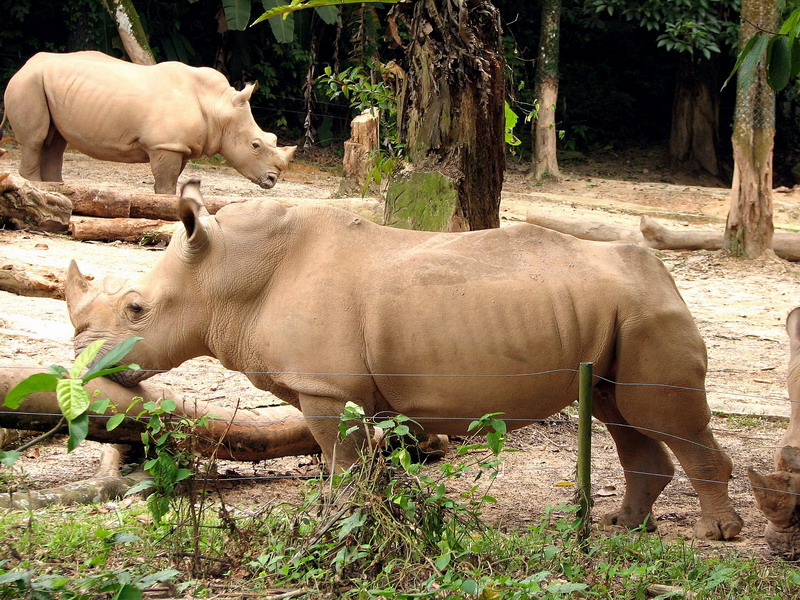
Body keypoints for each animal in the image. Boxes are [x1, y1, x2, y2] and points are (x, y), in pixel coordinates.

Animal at [2, 51, 296, 194]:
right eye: (255, 145)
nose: (273, 179)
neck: (219, 108)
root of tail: (24, 65)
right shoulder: (165, 144)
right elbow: (166, 184)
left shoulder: (179, 146)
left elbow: (170, 180)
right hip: (28, 83)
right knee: (36, 139)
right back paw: (37, 187)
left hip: (46, 84)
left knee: (55, 141)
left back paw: (56, 188)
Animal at [65, 181, 743, 540]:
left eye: (136, 309)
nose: (79, 361)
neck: (225, 274)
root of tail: (668, 278)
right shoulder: (346, 389)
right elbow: (363, 464)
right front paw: (366, 517)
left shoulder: (326, 388)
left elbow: (340, 461)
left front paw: (338, 521)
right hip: (624, 312)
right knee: (618, 410)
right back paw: (619, 525)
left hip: (647, 312)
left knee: (661, 414)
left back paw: (717, 535)